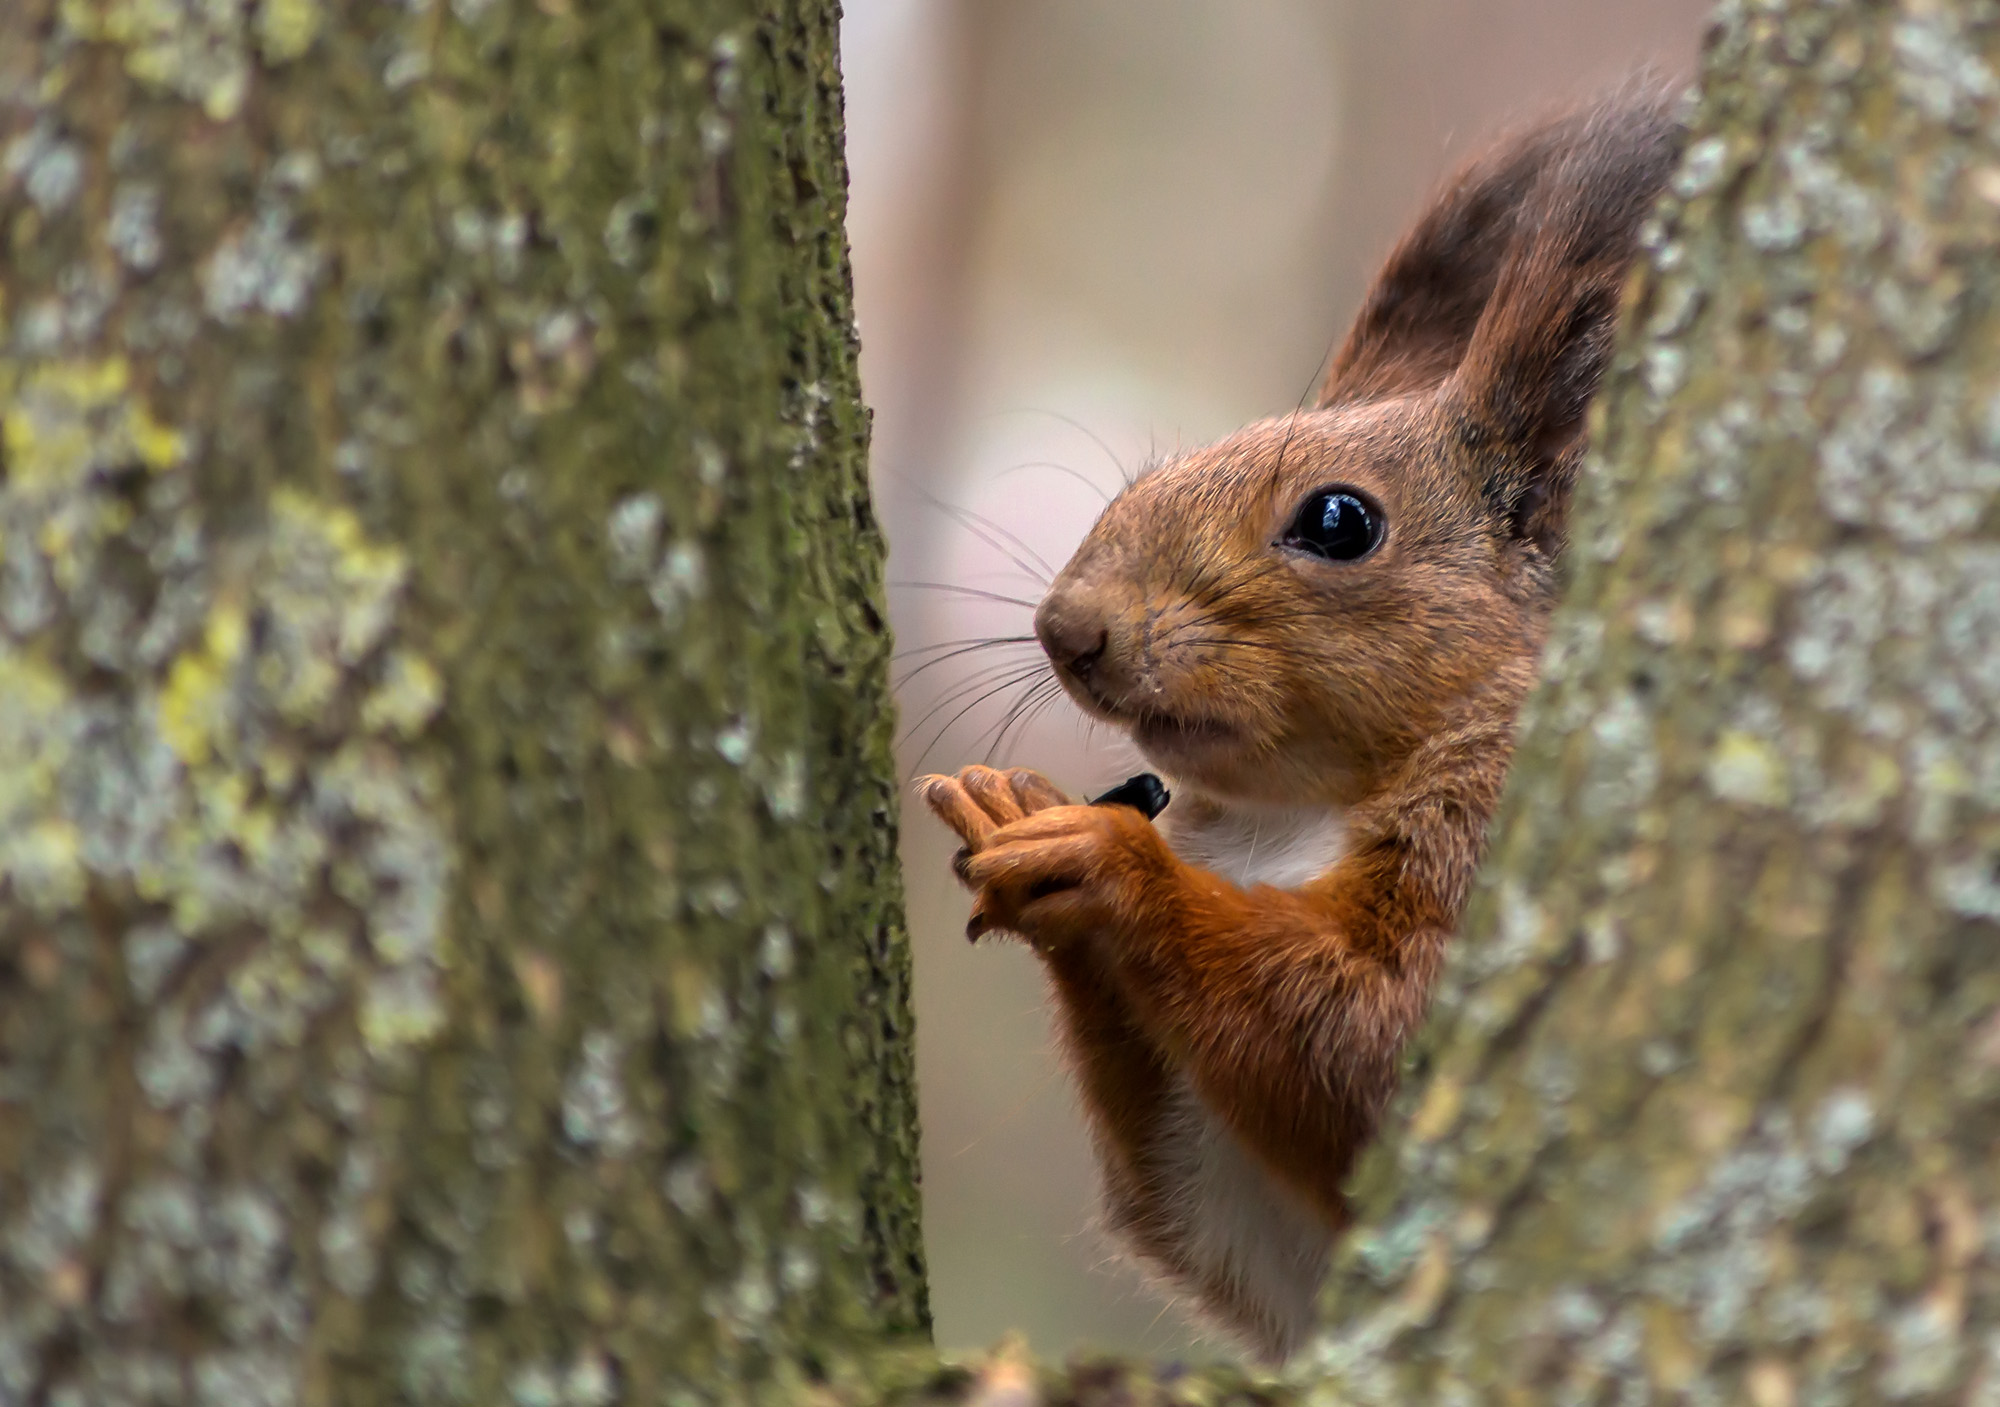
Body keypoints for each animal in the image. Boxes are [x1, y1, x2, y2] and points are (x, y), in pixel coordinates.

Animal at [920, 90, 1688, 1359]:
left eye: (1338, 521)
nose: (1066, 628)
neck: (1282, 816)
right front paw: (1017, 818)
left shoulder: (1491, 853)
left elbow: (1373, 1050)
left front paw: (1107, 861)